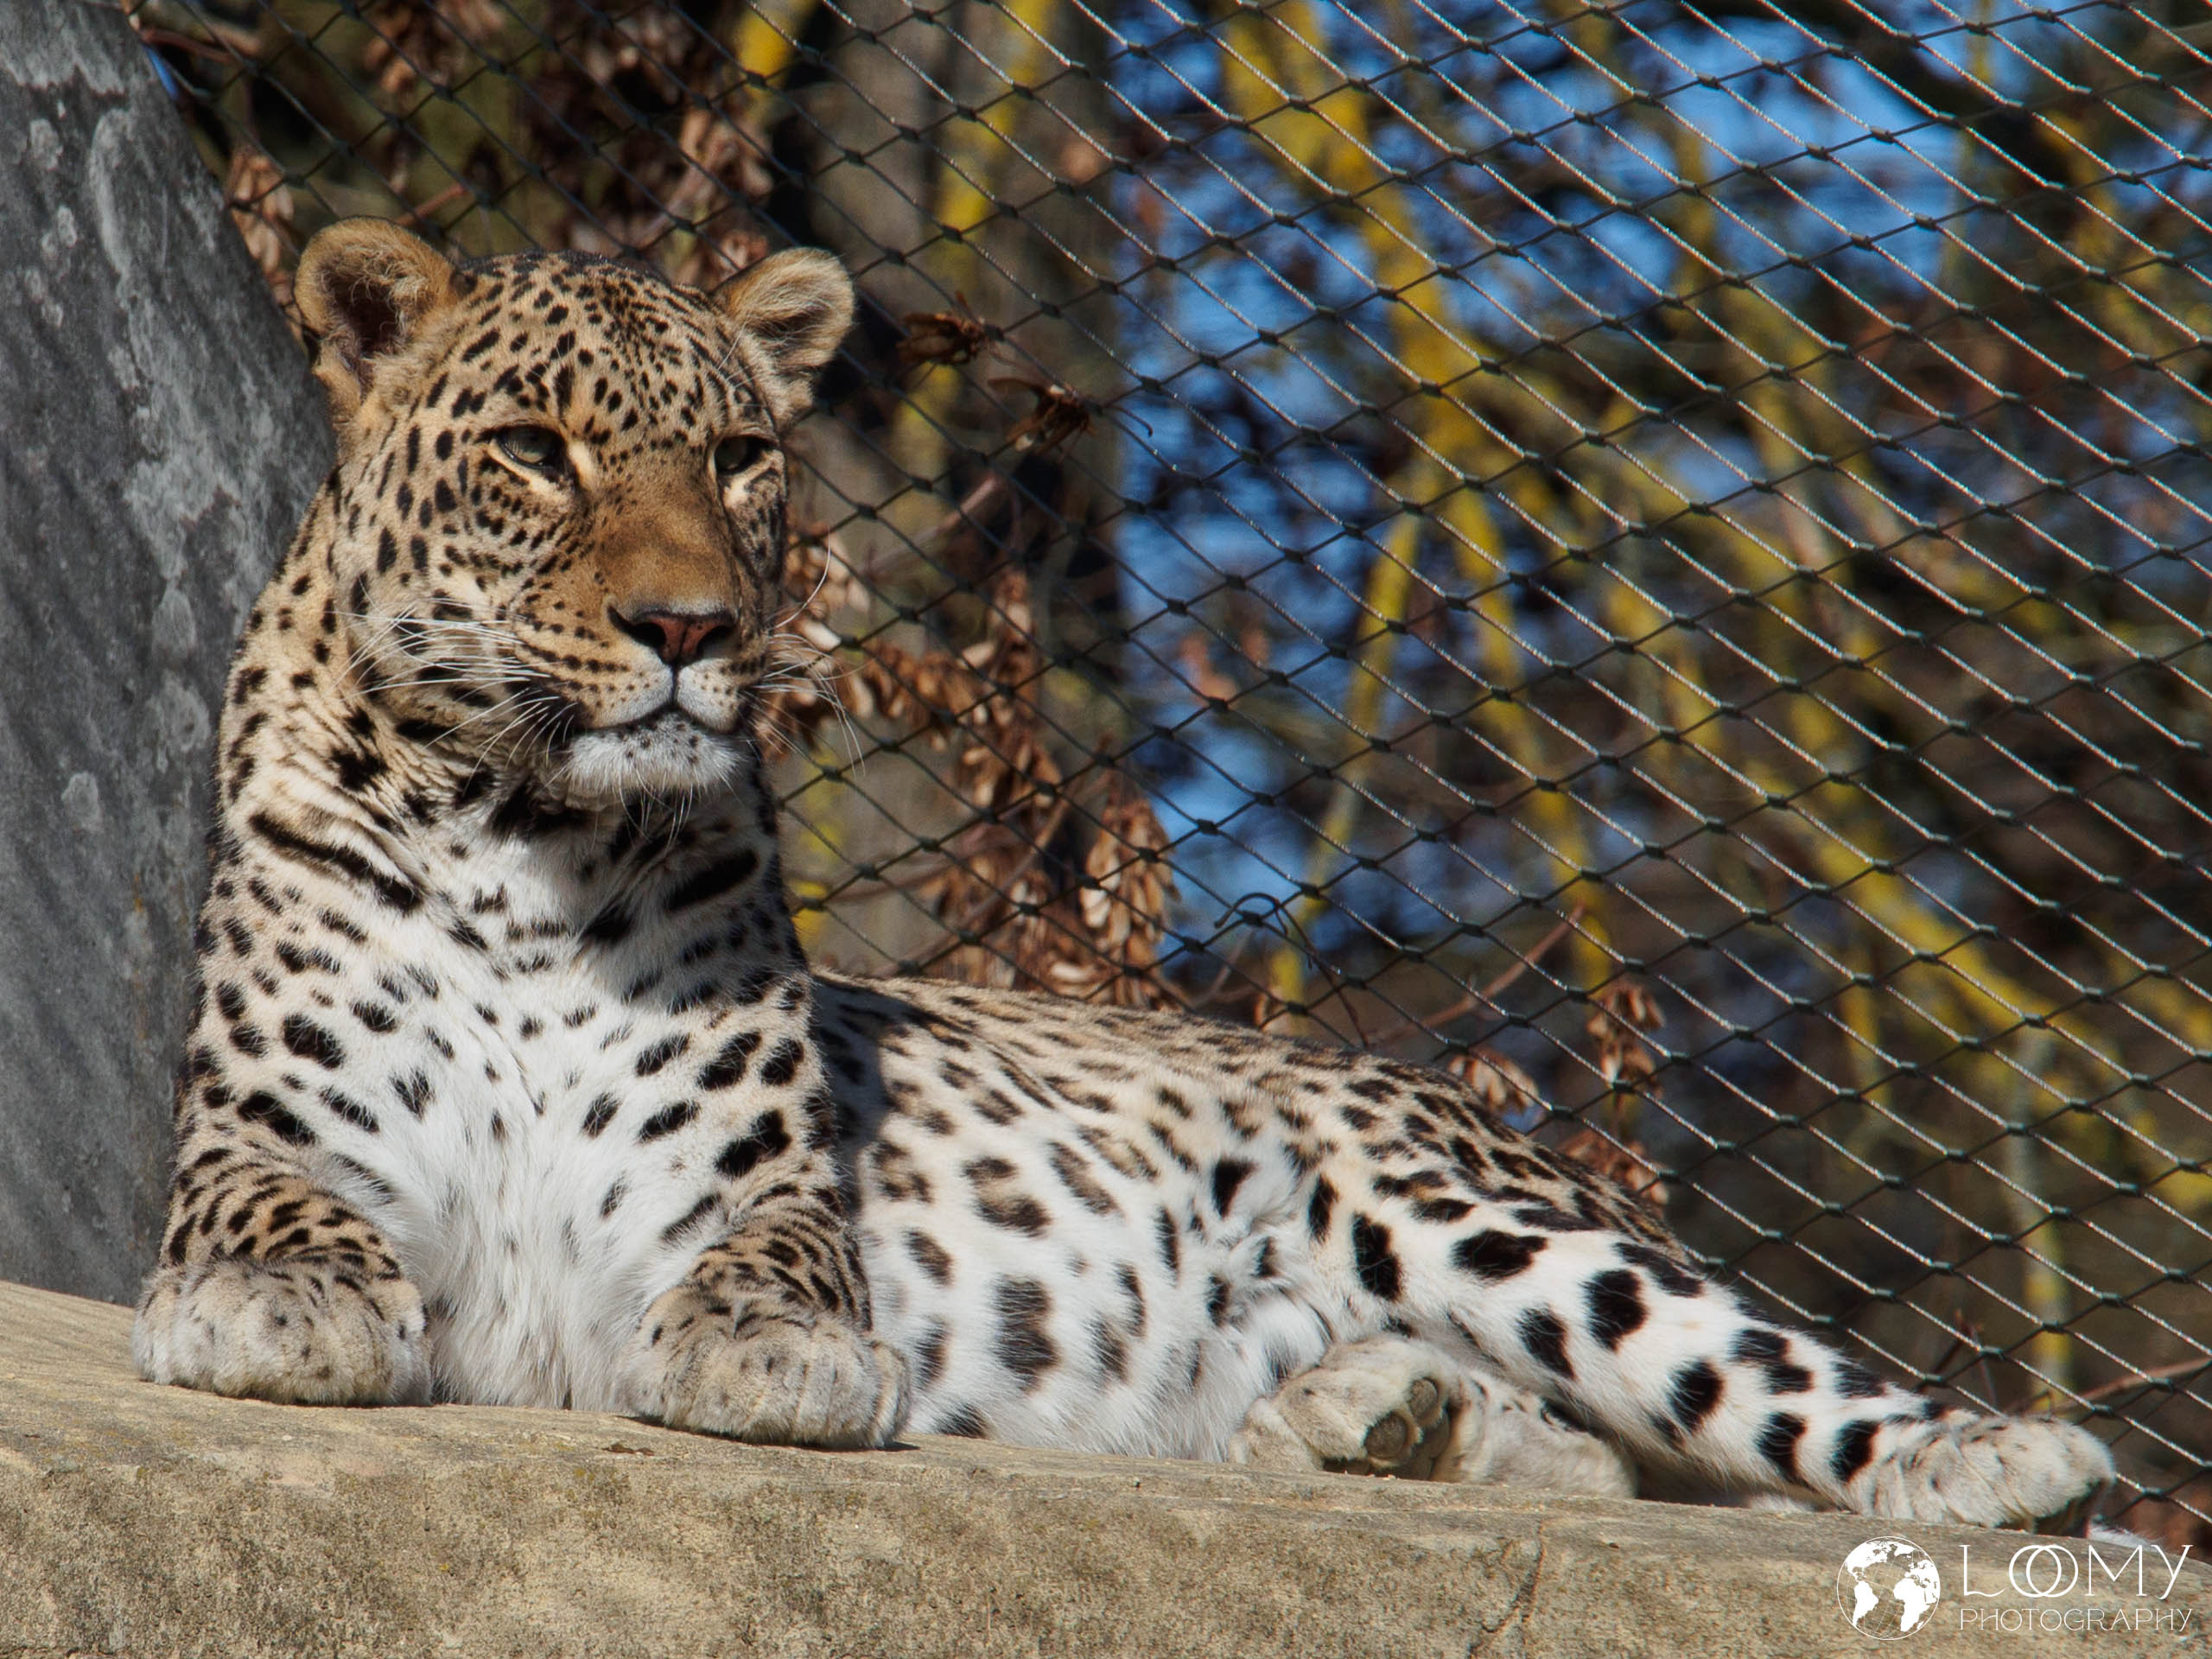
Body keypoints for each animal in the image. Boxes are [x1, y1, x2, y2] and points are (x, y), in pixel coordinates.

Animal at [134, 215, 2115, 1531]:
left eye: (742, 457)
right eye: (534, 457)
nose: (691, 628)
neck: (525, 839)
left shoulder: (750, 1195)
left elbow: (770, 1270)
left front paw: (774, 1356)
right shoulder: (261, 1142)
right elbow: (266, 1216)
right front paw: (279, 1309)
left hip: (1475, 1210)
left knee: (1747, 1387)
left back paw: (1993, 1457)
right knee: (1602, 1463)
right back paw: (1380, 1419)